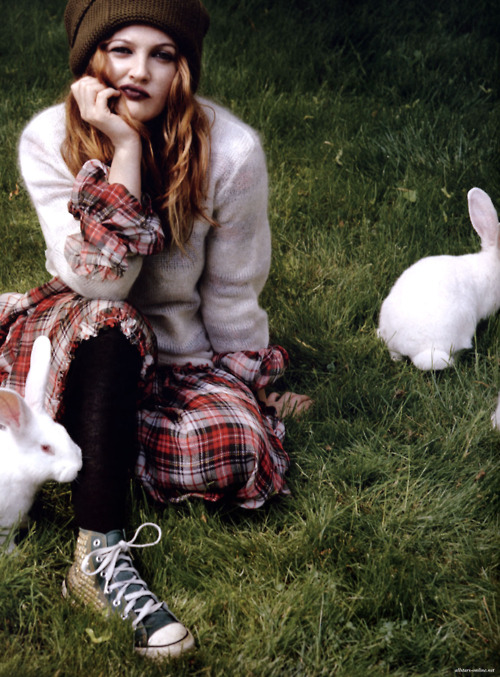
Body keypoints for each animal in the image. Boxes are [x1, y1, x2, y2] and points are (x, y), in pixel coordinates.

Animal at [0, 335, 82, 552]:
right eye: (45, 448)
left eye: (63, 431)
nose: (78, 466)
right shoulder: (6, 521)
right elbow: (6, 541)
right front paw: (15, 554)